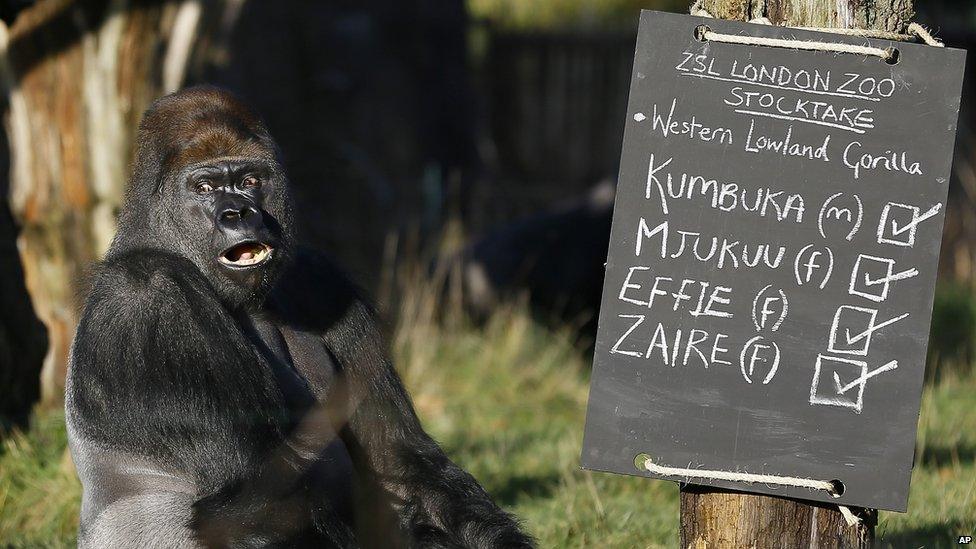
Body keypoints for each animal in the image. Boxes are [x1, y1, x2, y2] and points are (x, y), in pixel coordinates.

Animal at [66, 88, 532, 544]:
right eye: (205, 186)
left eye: (250, 181)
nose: (238, 213)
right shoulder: (148, 299)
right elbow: (257, 508)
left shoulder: (321, 277)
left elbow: (399, 463)